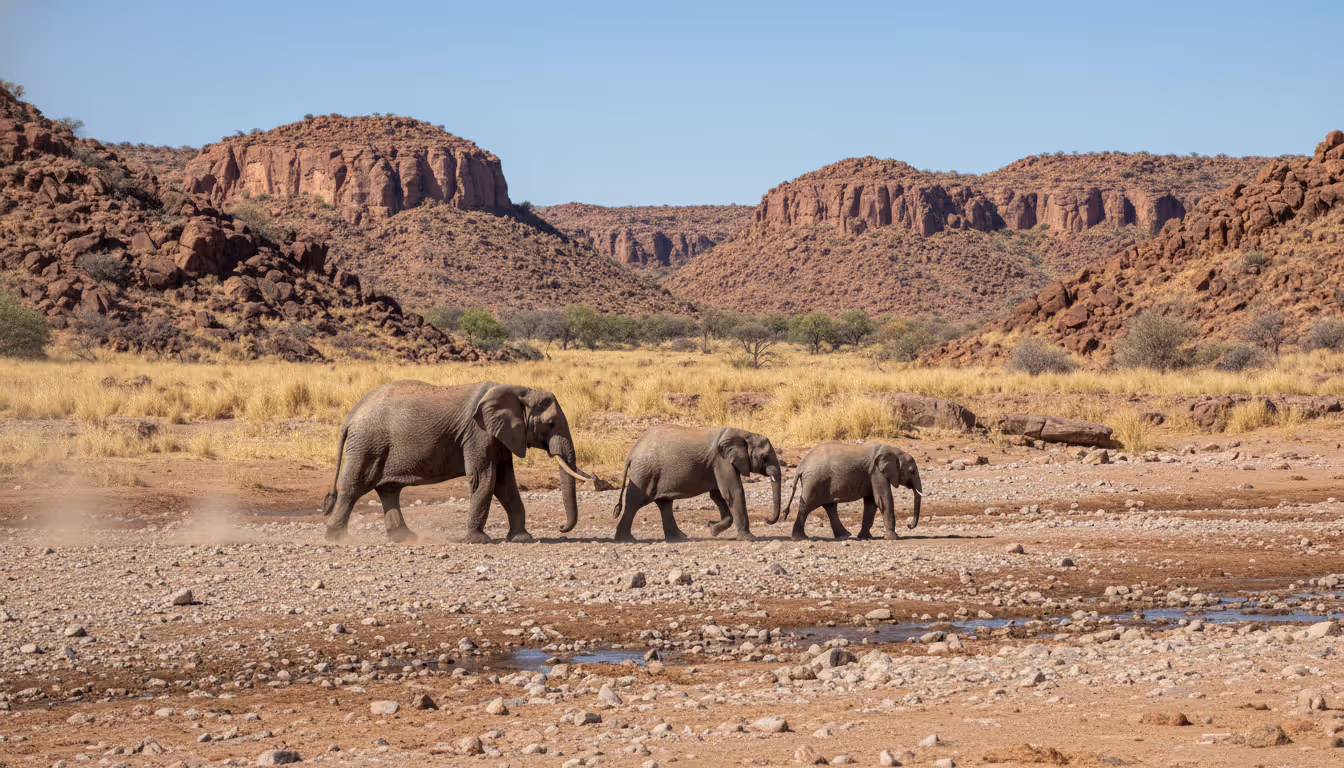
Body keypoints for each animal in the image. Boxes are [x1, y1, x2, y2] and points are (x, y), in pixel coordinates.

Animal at [321, 380, 593, 543]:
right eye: (550, 424)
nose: (560, 527)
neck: (519, 390)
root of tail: (351, 414)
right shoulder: (478, 434)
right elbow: (485, 480)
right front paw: (478, 541)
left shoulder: (499, 437)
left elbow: (505, 485)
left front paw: (522, 539)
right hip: (367, 443)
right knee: (355, 486)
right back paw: (337, 538)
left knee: (388, 490)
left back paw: (405, 538)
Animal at [611, 426, 782, 543]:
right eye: (765, 457)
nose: (767, 518)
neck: (743, 434)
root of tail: (632, 452)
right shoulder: (722, 462)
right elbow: (733, 492)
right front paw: (750, 539)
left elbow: (718, 495)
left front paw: (712, 529)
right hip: (644, 472)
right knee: (634, 502)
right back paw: (626, 539)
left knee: (664, 504)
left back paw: (680, 538)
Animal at [773, 441, 922, 541]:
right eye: (912, 471)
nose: (909, 525)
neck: (892, 449)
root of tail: (801, 466)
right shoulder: (876, 472)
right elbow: (883, 500)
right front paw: (893, 538)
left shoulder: (872, 475)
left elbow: (871, 504)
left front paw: (865, 537)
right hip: (814, 481)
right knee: (807, 507)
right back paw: (801, 538)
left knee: (829, 507)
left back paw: (845, 536)